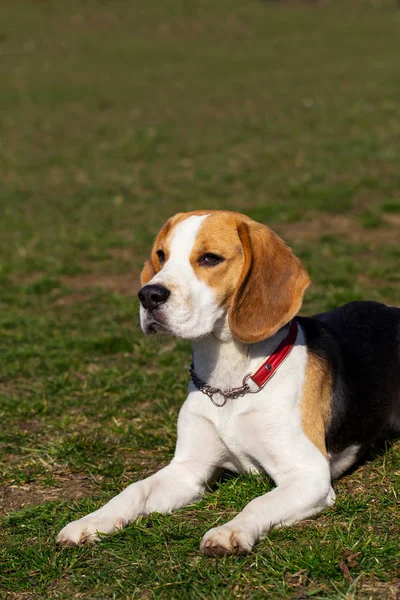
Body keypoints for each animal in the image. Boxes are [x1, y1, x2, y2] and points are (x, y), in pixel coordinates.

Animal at [57, 210, 400, 552]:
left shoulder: (308, 474)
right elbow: (135, 489)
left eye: (210, 258)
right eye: (161, 256)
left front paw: (230, 531)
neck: (230, 383)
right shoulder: (188, 469)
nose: (148, 295)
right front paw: (90, 521)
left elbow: (259, 503)